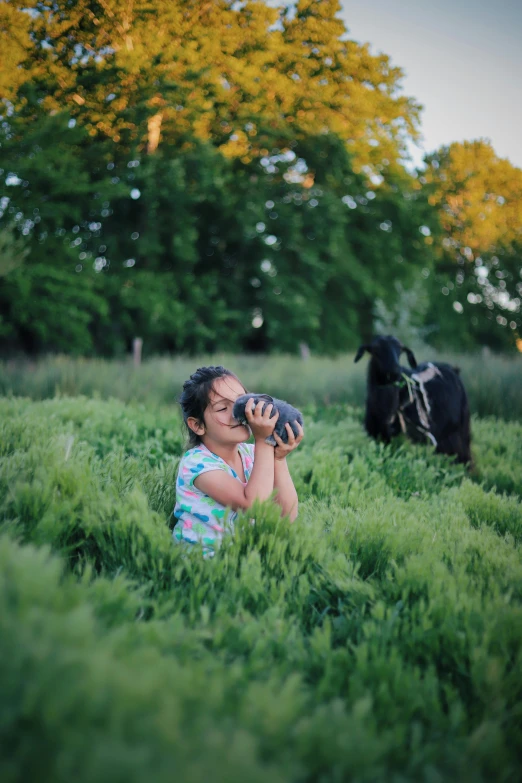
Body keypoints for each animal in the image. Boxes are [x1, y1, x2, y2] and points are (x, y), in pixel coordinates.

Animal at [354, 336, 472, 466]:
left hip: (458, 434)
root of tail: (453, 369)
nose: (395, 370)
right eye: (375, 349)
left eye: (400, 350)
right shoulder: (378, 437)